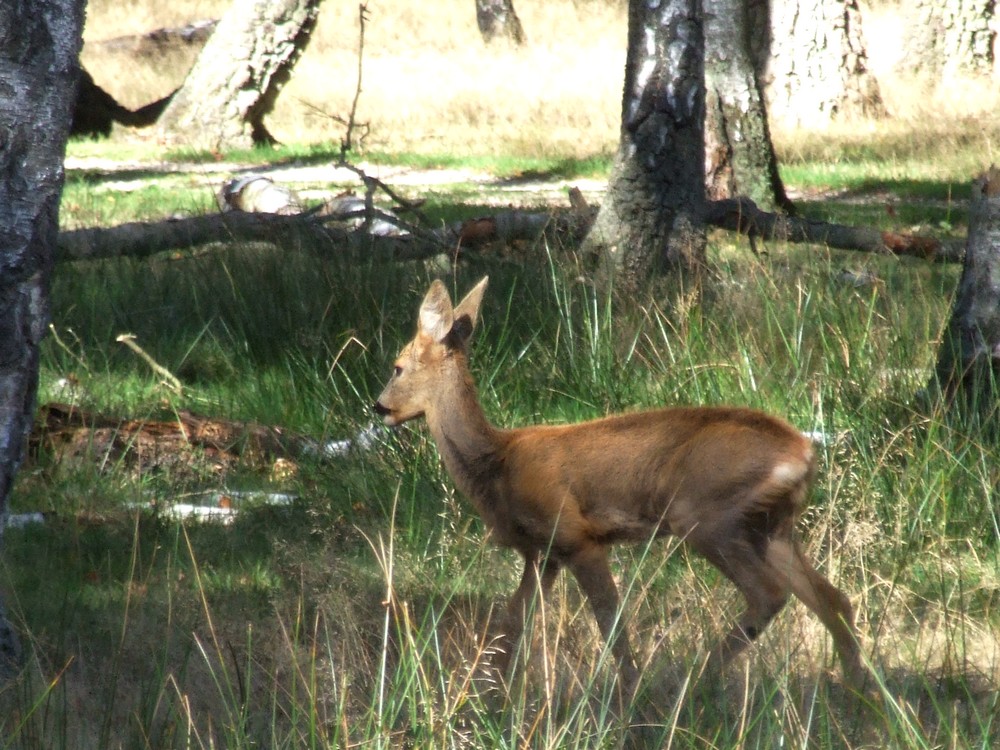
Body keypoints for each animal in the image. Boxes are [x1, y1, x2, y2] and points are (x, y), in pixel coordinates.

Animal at [376, 280, 868, 696]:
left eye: (397, 367)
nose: (379, 406)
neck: (496, 463)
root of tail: (802, 452)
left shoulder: (576, 536)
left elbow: (610, 621)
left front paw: (631, 693)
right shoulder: (543, 553)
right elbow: (512, 621)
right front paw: (486, 695)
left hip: (707, 516)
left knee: (769, 594)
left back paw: (690, 680)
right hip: (772, 526)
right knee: (834, 599)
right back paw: (861, 692)